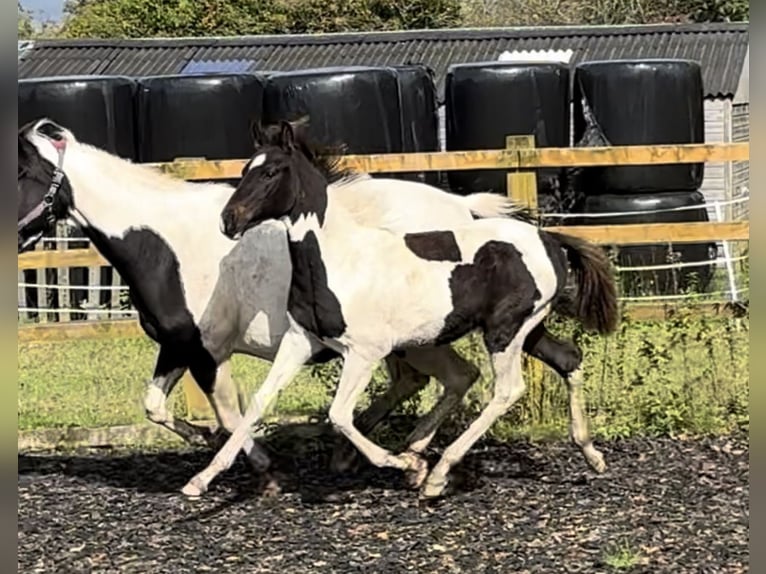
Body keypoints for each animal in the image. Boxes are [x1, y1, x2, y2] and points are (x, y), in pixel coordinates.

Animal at [188, 121, 624, 500]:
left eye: (272, 172)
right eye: (245, 169)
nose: (229, 221)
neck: (338, 260)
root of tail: (548, 238)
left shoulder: (364, 352)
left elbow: (340, 415)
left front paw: (405, 465)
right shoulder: (301, 342)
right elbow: (259, 403)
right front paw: (201, 480)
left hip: (505, 331)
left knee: (506, 390)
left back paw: (436, 474)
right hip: (528, 329)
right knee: (568, 358)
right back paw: (591, 454)